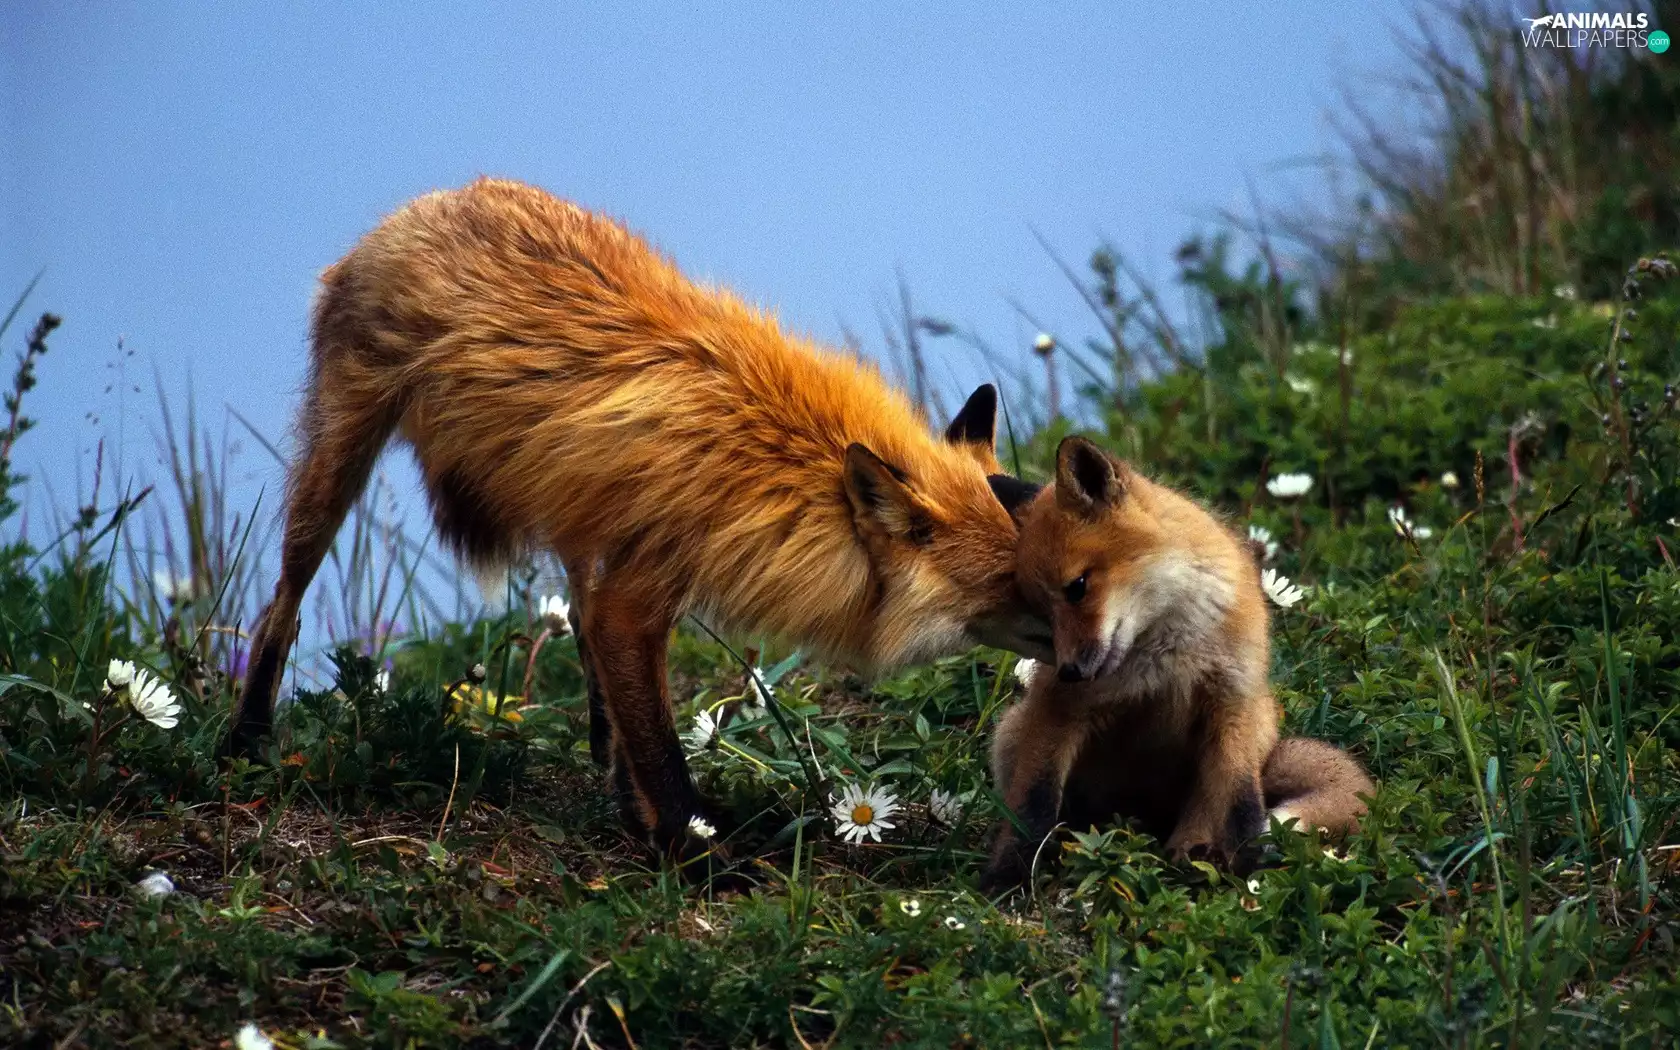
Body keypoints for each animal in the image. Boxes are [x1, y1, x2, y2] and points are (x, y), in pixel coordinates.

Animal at [227, 177, 1052, 854]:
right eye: (1017, 585)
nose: (1085, 646)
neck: (776, 466)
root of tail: (427, 200)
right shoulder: (639, 596)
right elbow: (661, 751)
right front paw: (697, 856)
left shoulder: (632, 576)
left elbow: (635, 713)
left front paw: (646, 815)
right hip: (338, 463)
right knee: (280, 610)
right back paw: (246, 742)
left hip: (572, 516)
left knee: (581, 635)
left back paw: (605, 762)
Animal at [981, 436, 1372, 890]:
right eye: (1041, 613)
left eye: (1077, 587)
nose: (1069, 672)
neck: (1166, 649)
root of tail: (1145, 817)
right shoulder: (1059, 710)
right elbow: (1032, 805)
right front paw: (1006, 875)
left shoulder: (1232, 701)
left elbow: (1242, 805)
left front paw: (1249, 868)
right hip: (1012, 733)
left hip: (1253, 726)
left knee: (1207, 809)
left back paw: (1192, 854)